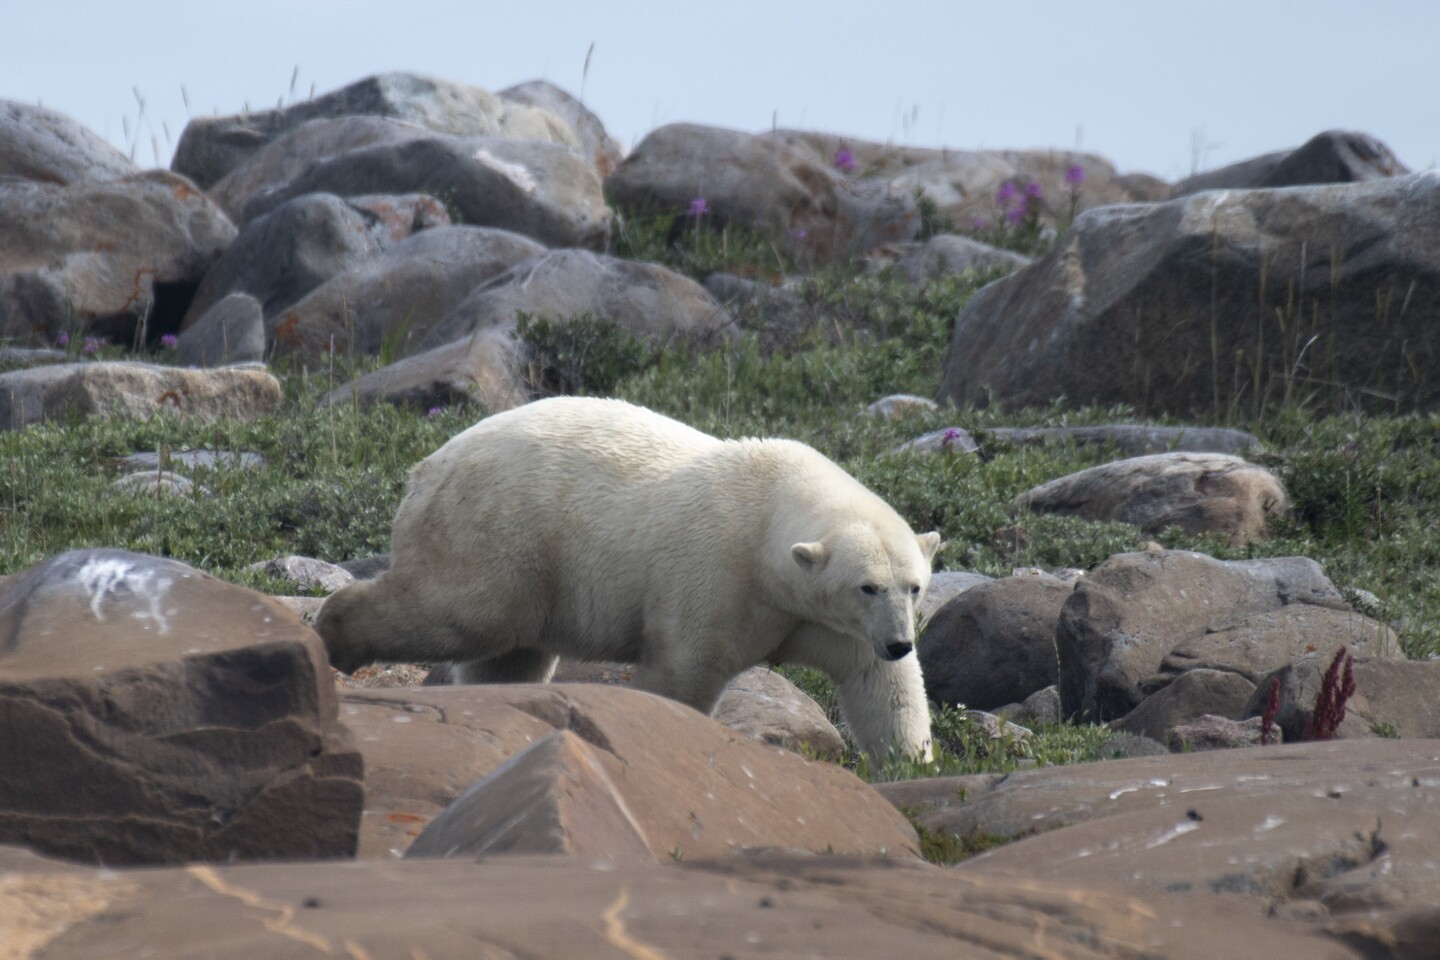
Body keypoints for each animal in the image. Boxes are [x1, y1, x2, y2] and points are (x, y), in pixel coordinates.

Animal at [316, 394, 938, 759]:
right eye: (866, 585)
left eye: (914, 586)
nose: (900, 642)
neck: (767, 512)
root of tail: (426, 467)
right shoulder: (717, 570)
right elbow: (684, 670)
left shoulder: (820, 619)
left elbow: (879, 684)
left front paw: (909, 763)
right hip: (499, 532)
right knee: (461, 614)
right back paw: (336, 634)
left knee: (510, 655)